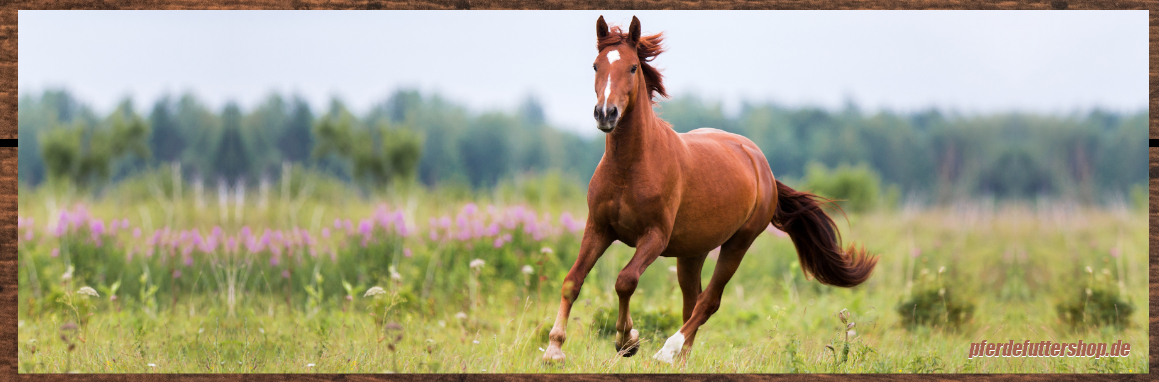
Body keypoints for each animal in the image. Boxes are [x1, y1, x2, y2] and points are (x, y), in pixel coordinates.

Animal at [542, 17, 876, 363]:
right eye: (596, 66)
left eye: (633, 67)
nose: (606, 114)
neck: (630, 167)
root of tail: (762, 165)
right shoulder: (599, 228)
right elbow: (572, 280)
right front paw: (554, 348)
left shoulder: (655, 237)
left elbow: (626, 281)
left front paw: (626, 341)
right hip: (693, 252)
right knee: (692, 301)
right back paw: (681, 358)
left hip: (738, 244)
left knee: (708, 301)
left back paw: (668, 351)